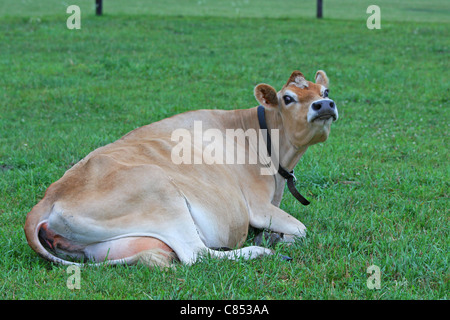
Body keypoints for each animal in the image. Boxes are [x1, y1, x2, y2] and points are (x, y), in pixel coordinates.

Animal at [22, 70, 336, 268]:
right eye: (288, 98)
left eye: (325, 90)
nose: (325, 105)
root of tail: (48, 197)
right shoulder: (257, 206)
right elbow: (300, 229)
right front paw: (277, 240)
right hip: (160, 192)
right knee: (197, 254)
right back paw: (260, 251)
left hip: (109, 245)